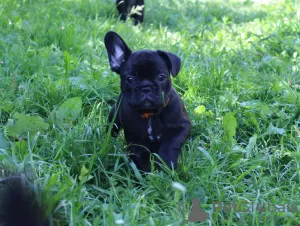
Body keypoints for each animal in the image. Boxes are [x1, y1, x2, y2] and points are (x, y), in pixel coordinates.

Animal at [104, 30, 191, 172]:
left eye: (161, 77)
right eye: (129, 78)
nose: (146, 87)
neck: (150, 113)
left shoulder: (182, 126)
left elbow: (171, 144)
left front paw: (166, 166)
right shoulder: (136, 141)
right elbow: (140, 158)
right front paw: (147, 175)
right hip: (114, 117)